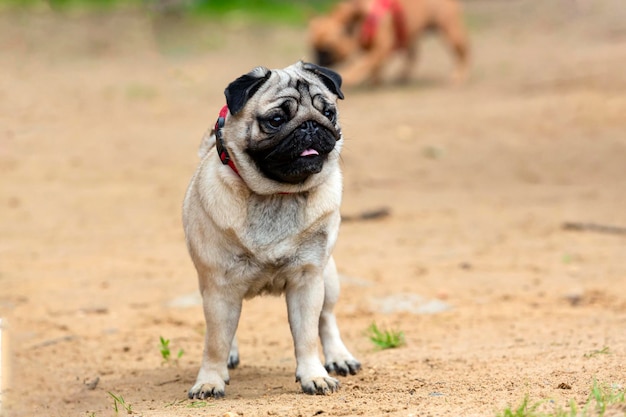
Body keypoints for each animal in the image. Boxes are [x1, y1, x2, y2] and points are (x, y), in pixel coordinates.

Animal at [180, 61, 360, 396]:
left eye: (328, 112)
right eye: (276, 120)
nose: (310, 126)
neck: (277, 194)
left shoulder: (307, 281)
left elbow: (307, 336)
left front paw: (313, 375)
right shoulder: (219, 287)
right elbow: (215, 342)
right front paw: (210, 380)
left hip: (328, 278)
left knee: (326, 319)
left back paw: (339, 357)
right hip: (209, 288)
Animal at [308, 0, 468, 85]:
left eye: (328, 49)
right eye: (312, 47)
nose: (317, 61)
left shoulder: (381, 49)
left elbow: (363, 63)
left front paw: (350, 75)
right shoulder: (371, 49)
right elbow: (374, 66)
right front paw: (375, 80)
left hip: (451, 32)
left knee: (464, 52)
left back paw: (459, 76)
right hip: (408, 36)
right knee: (413, 56)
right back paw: (403, 76)